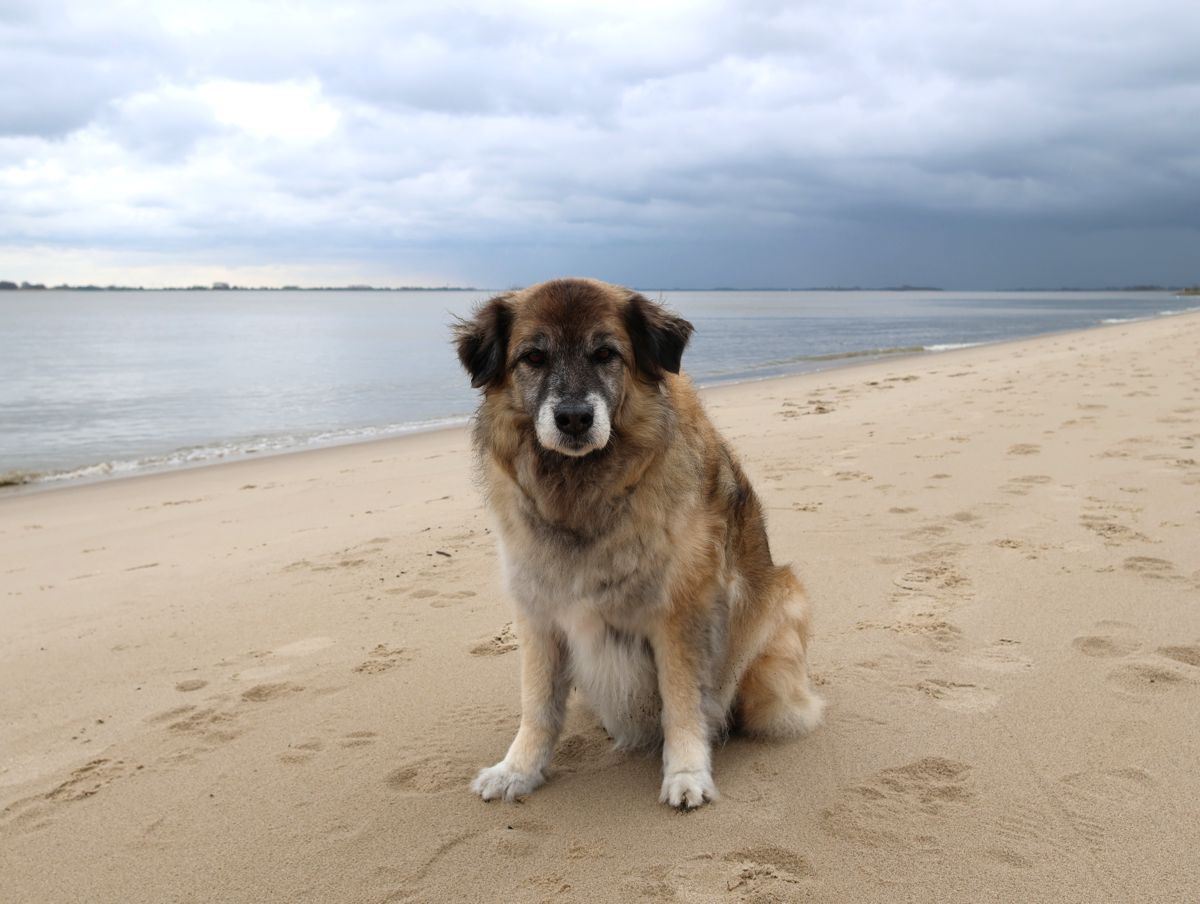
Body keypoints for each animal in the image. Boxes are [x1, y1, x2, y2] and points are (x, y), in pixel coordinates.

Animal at [451, 277, 825, 811]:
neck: (587, 491)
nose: (573, 418)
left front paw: (687, 772)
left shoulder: (678, 614)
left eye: (606, 353)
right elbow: (538, 704)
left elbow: (682, 700)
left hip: (777, 631)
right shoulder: (539, 612)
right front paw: (518, 770)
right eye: (534, 357)